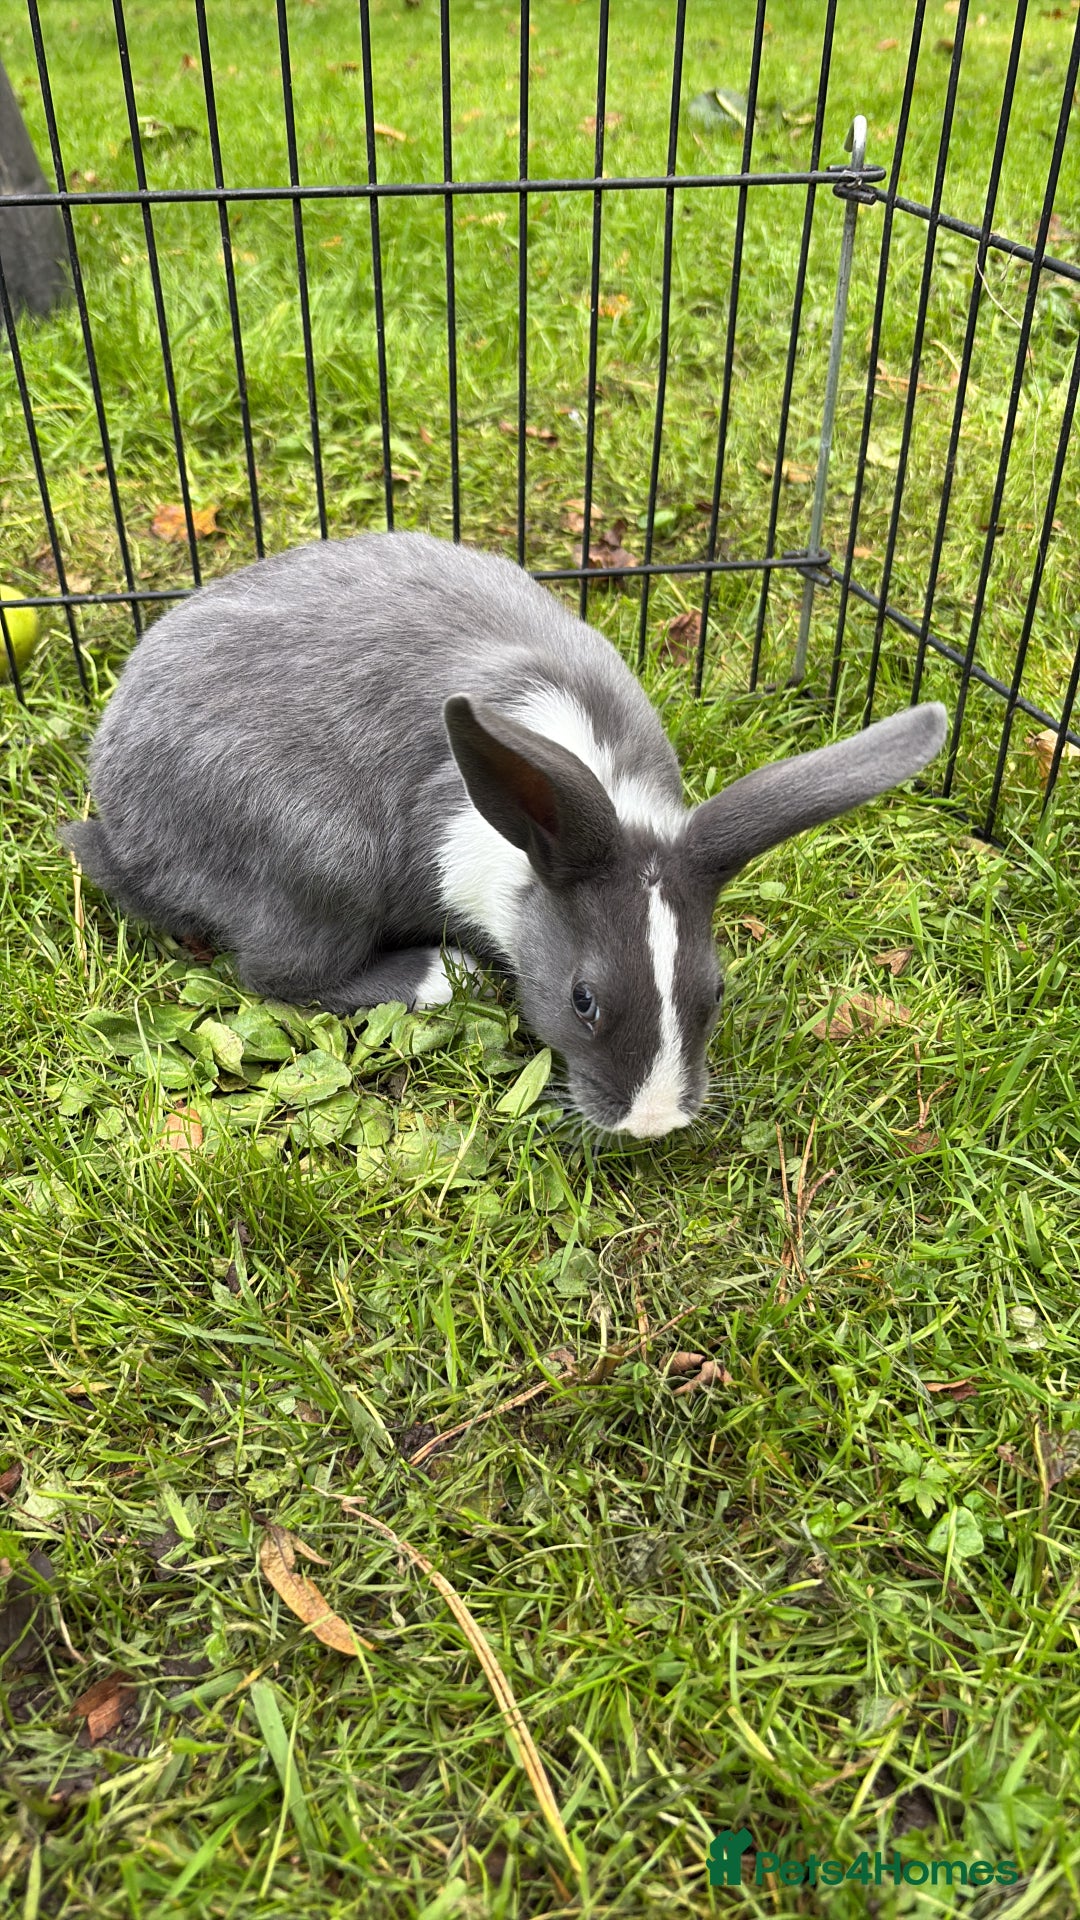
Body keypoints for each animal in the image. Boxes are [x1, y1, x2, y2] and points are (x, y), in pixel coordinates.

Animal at [62, 531, 946, 1138]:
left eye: (716, 991)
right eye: (583, 1000)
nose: (652, 1122)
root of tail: (119, 819)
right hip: (323, 863)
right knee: (277, 974)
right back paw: (437, 973)